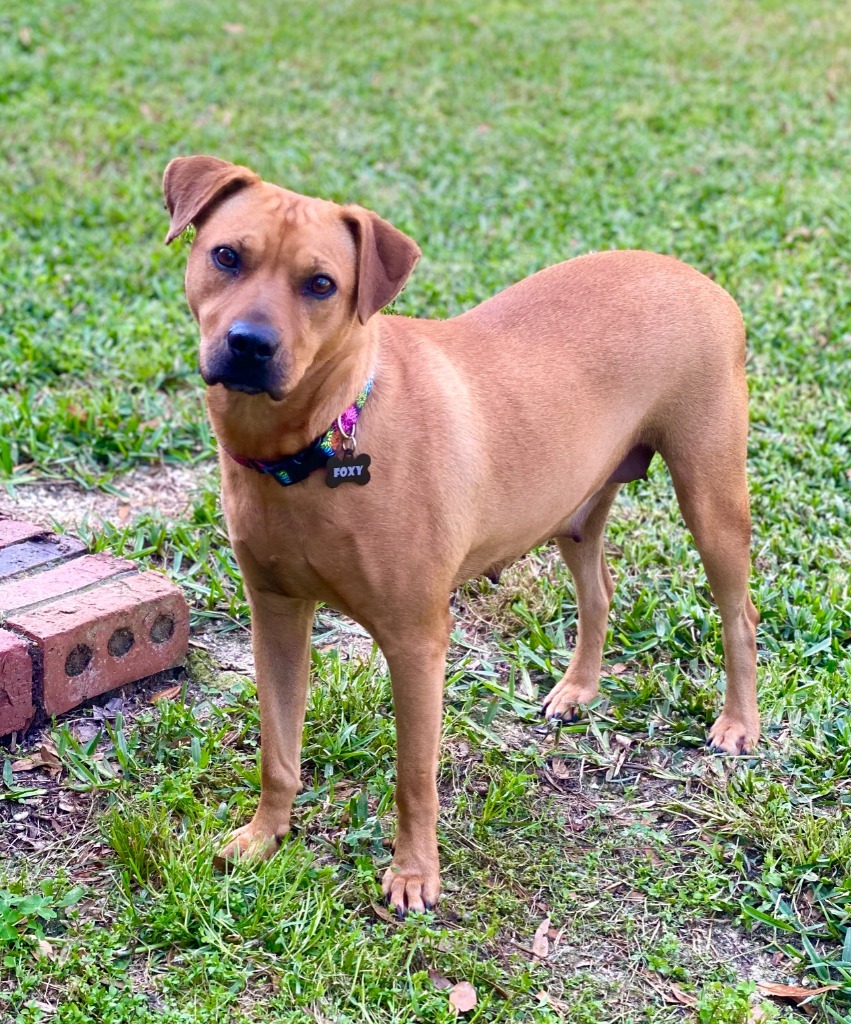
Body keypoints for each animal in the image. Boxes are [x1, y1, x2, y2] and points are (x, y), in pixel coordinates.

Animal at [162, 155, 761, 917]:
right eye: (226, 257)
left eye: (321, 284)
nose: (249, 345)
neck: (319, 444)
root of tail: (697, 277)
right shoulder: (274, 616)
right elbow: (278, 750)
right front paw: (266, 836)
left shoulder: (416, 642)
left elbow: (413, 775)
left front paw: (415, 873)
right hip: (575, 505)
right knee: (598, 591)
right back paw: (578, 688)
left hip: (711, 498)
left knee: (739, 615)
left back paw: (738, 724)